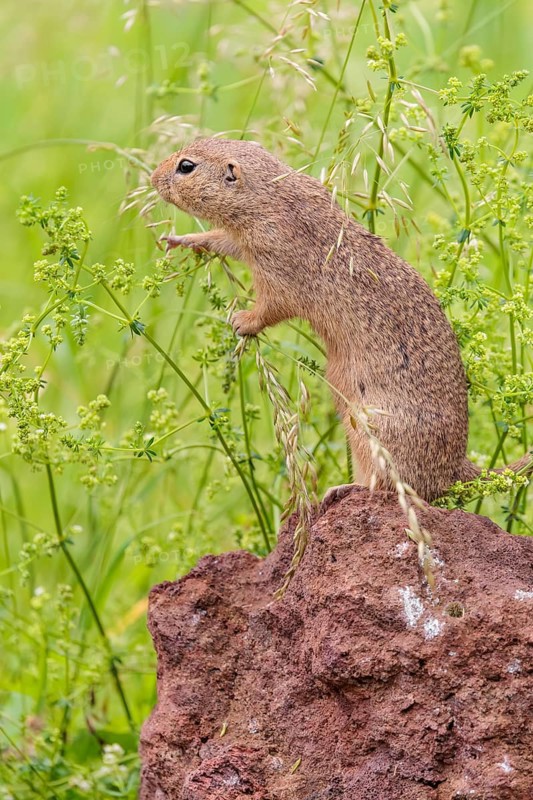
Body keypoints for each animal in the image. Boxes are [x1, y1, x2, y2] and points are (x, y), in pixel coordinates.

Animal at [151, 137, 532, 504]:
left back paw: (344, 489)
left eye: (186, 166)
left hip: (372, 430)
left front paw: (242, 321)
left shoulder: (277, 264)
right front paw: (178, 239)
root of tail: (456, 470)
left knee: (394, 487)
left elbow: (272, 306)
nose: (153, 177)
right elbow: (220, 240)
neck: (270, 197)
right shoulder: (244, 241)